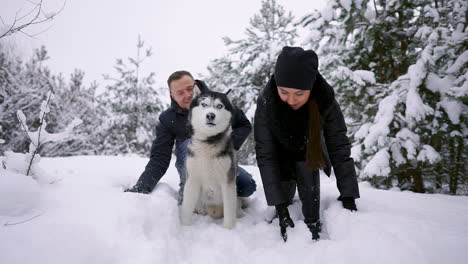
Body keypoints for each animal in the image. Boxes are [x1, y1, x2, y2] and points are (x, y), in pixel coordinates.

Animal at [179, 87, 238, 229]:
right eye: (204, 104)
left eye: (219, 106)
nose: (210, 115)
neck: (208, 142)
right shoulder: (192, 179)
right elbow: (186, 209)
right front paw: (184, 227)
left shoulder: (227, 181)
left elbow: (229, 212)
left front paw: (229, 230)